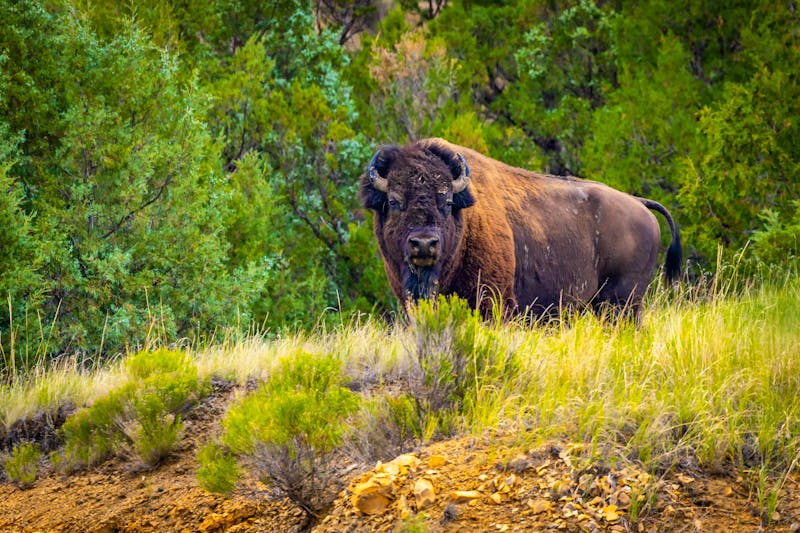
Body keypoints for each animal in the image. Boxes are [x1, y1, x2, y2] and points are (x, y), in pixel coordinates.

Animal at [360, 138, 681, 319]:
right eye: (394, 201)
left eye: (447, 201)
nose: (425, 244)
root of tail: (639, 203)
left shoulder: (493, 302)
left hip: (622, 303)